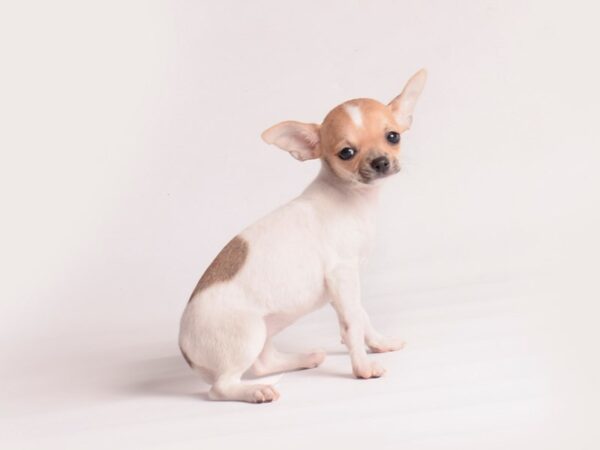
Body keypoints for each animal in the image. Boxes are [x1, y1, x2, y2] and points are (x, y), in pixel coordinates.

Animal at [178, 71, 426, 404]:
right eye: (347, 153)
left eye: (393, 136)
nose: (381, 162)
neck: (351, 197)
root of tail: (185, 349)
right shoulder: (342, 276)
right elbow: (352, 325)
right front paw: (362, 367)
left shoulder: (344, 285)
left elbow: (361, 316)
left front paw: (379, 343)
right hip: (247, 335)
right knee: (221, 388)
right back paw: (256, 391)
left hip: (265, 333)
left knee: (264, 363)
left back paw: (305, 359)